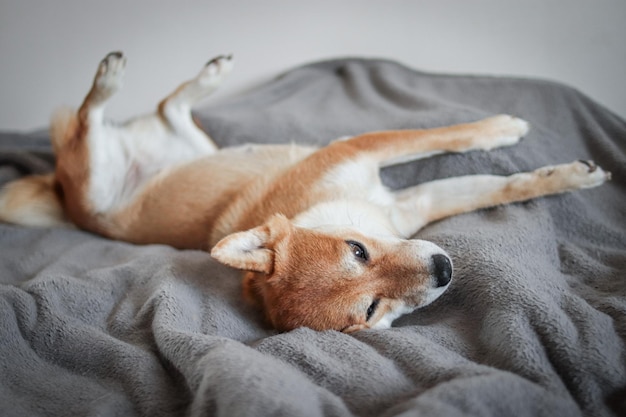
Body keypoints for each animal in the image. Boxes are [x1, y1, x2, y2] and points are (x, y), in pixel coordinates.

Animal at [0, 52, 608, 332]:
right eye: (371, 307)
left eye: (357, 250)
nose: (443, 270)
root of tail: (64, 191)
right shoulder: (410, 207)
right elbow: (485, 181)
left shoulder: (376, 169)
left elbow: (470, 156)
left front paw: (518, 142)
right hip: (95, 182)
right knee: (89, 118)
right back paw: (109, 82)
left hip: (190, 146)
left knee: (162, 107)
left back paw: (179, 77)